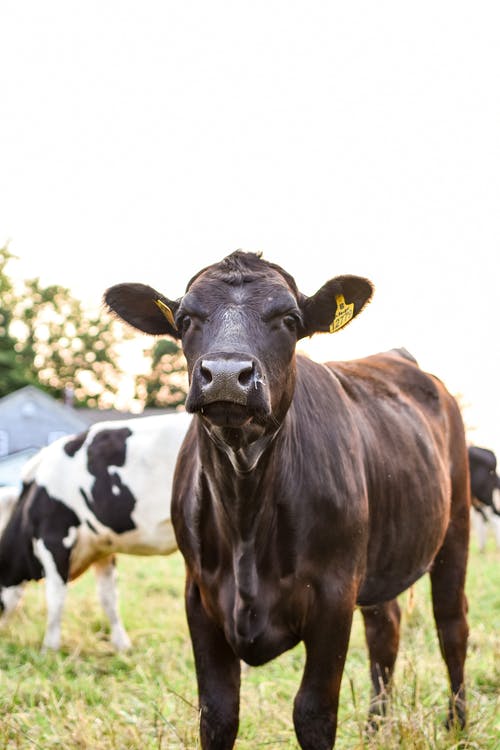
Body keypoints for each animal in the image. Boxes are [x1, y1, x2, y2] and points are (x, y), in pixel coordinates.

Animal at [0, 412, 191, 652]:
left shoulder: (54, 539)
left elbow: (55, 598)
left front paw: (49, 649)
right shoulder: (103, 548)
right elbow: (108, 597)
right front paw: (122, 645)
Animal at [104, 253, 468, 750]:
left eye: (290, 320)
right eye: (185, 320)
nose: (225, 375)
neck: (245, 510)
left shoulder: (334, 595)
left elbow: (313, 713)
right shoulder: (199, 596)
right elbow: (217, 714)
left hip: (455, 528)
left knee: (452, 627)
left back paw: (457, 724)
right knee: (385, 629)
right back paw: (376, 727)